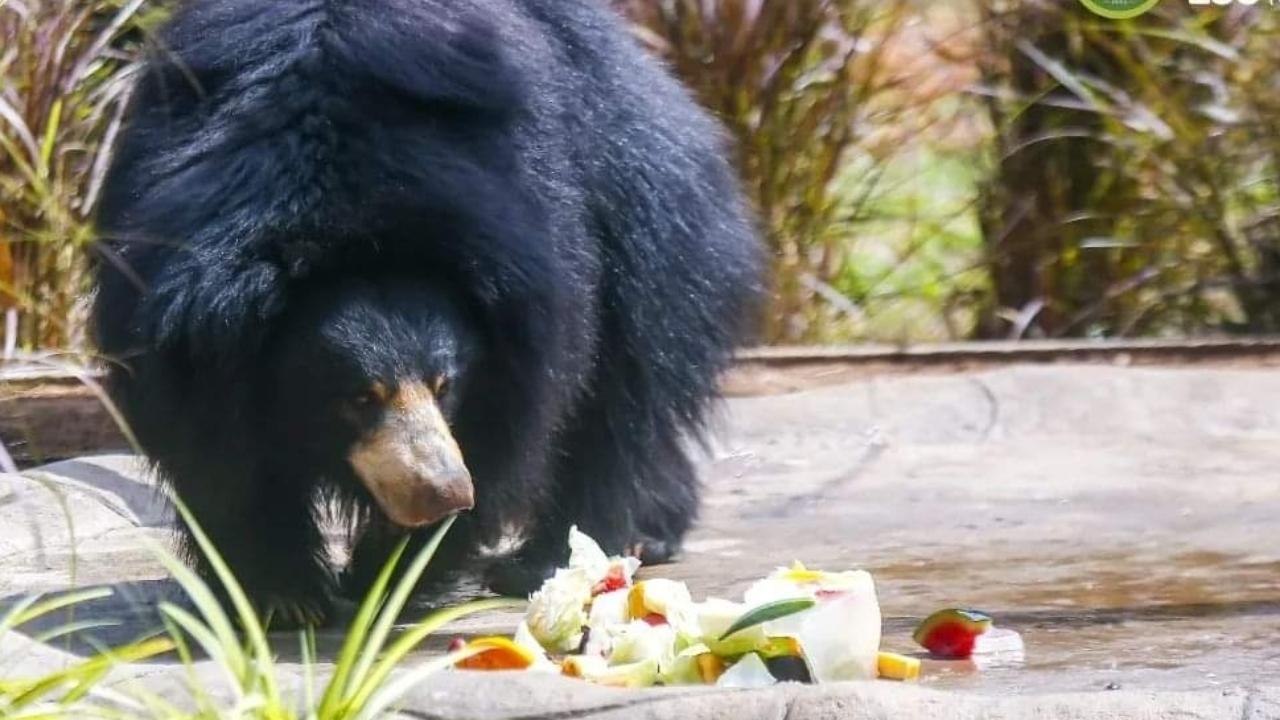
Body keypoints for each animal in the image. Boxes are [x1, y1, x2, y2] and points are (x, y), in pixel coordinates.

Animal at [94, 0, 762, 622]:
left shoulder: (524, 280)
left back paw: (557, 557)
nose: (443, 493)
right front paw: (282, 594)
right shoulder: (184, 322)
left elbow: (507, 428)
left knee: (618, 401)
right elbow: (221, 455)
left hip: (653, 224)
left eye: (446, 385)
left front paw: (388, 580)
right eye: (358, 397)